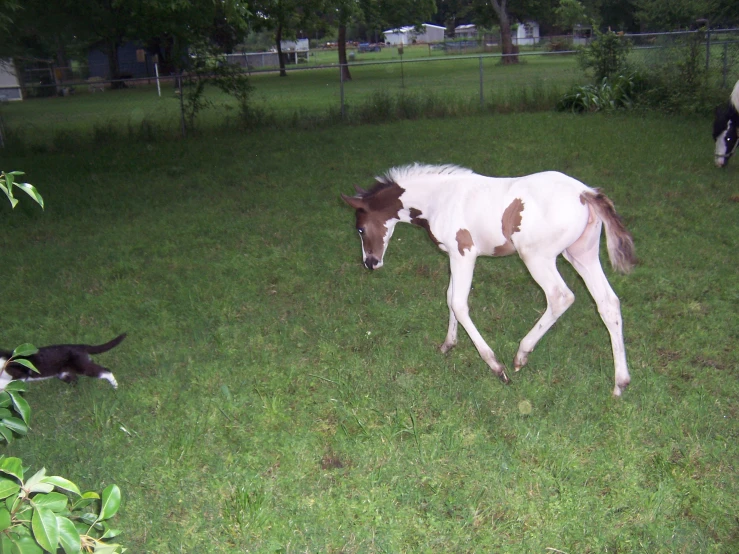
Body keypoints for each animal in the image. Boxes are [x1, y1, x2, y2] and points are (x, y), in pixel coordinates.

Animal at [342, 162, 636, 394]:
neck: (439, 199)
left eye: (360, 228)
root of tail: (585, 192)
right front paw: (448, 345)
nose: (370, 263)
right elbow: (449, 298)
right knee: (608, 303)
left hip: (537, 257)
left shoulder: (464, 253)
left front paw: (497, 367)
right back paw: (620, 383)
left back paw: (521, 354)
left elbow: (459, 304)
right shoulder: (452, 255)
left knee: (560, 297)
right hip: (582, 255)